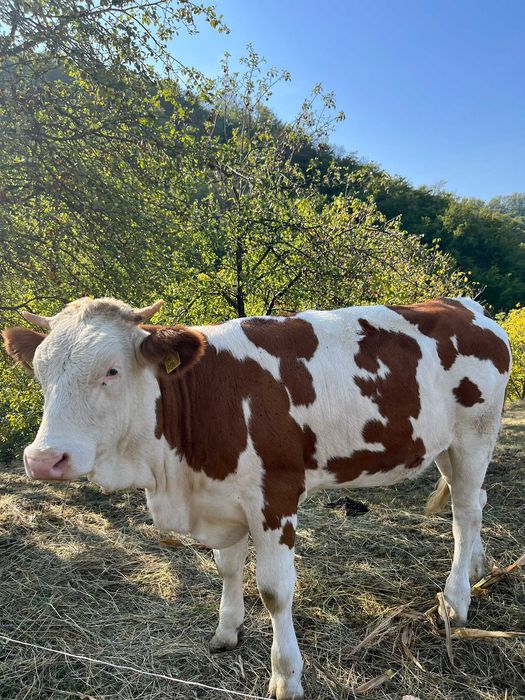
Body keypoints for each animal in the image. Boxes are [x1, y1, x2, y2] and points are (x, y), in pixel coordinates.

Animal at [2, 296, 511, 700]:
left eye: (111, 370)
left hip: (475, 435)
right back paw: (479, 567)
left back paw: (456, 600)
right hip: (445, 446)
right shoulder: (221, 499)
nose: (43, 460)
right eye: (39, 373)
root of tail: (467, 306)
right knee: (477, 502)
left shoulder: (276, 497)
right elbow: (227, 568)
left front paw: (286, 677)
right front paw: (227, 630)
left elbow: (274, 591)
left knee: (465, 513)